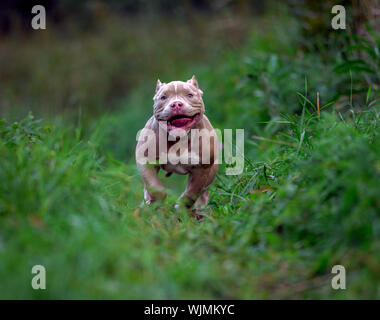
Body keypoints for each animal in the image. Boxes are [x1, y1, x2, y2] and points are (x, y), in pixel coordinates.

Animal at [137, 76, 218, 219]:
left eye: (190, 95)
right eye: (163, 97)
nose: (176, 104)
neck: (178, 139)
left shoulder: (201, 168)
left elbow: (192, 191)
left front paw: (180, 206)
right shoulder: (145, 161)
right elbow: (154, 186)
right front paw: (156, 203)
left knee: (203, 192)